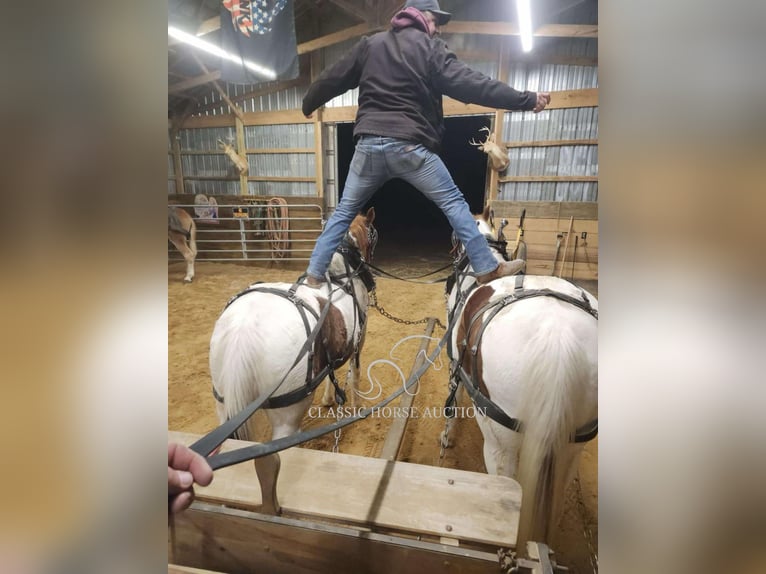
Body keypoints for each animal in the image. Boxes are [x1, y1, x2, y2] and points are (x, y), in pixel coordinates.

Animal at [208, 209, 380, 444]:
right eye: (373, 234)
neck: (341, 276)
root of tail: (244, 330)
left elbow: (332, 370)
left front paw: (328, 399)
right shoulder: (357, 344)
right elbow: (355, 374)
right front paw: (358, 408)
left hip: (223, 405)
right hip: (287, 417)